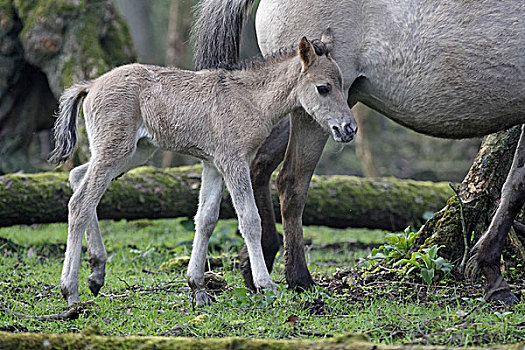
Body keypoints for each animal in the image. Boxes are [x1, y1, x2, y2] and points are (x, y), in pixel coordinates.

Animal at [50, 30, 356, 306]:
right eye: (323, 88)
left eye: (343, 84)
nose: (348, 128)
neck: (249, 99)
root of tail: (91, 85)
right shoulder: (234, 161)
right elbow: (249, 220)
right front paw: (266, 285)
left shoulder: (213, 164)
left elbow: (206, 219)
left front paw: (197, 288)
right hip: (115, 150)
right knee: (80, 203)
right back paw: (70, 291)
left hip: (136, 153)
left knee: (77, 177)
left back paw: (96, 273)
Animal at [192, 0, 524, 304]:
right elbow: (516, 189)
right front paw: (494, 277)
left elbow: (514, 188)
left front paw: (490, 270)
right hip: (314, 116)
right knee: (291, 182)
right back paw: (299, 278)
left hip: (316, 108)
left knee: (260, 165)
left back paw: (259, 262)